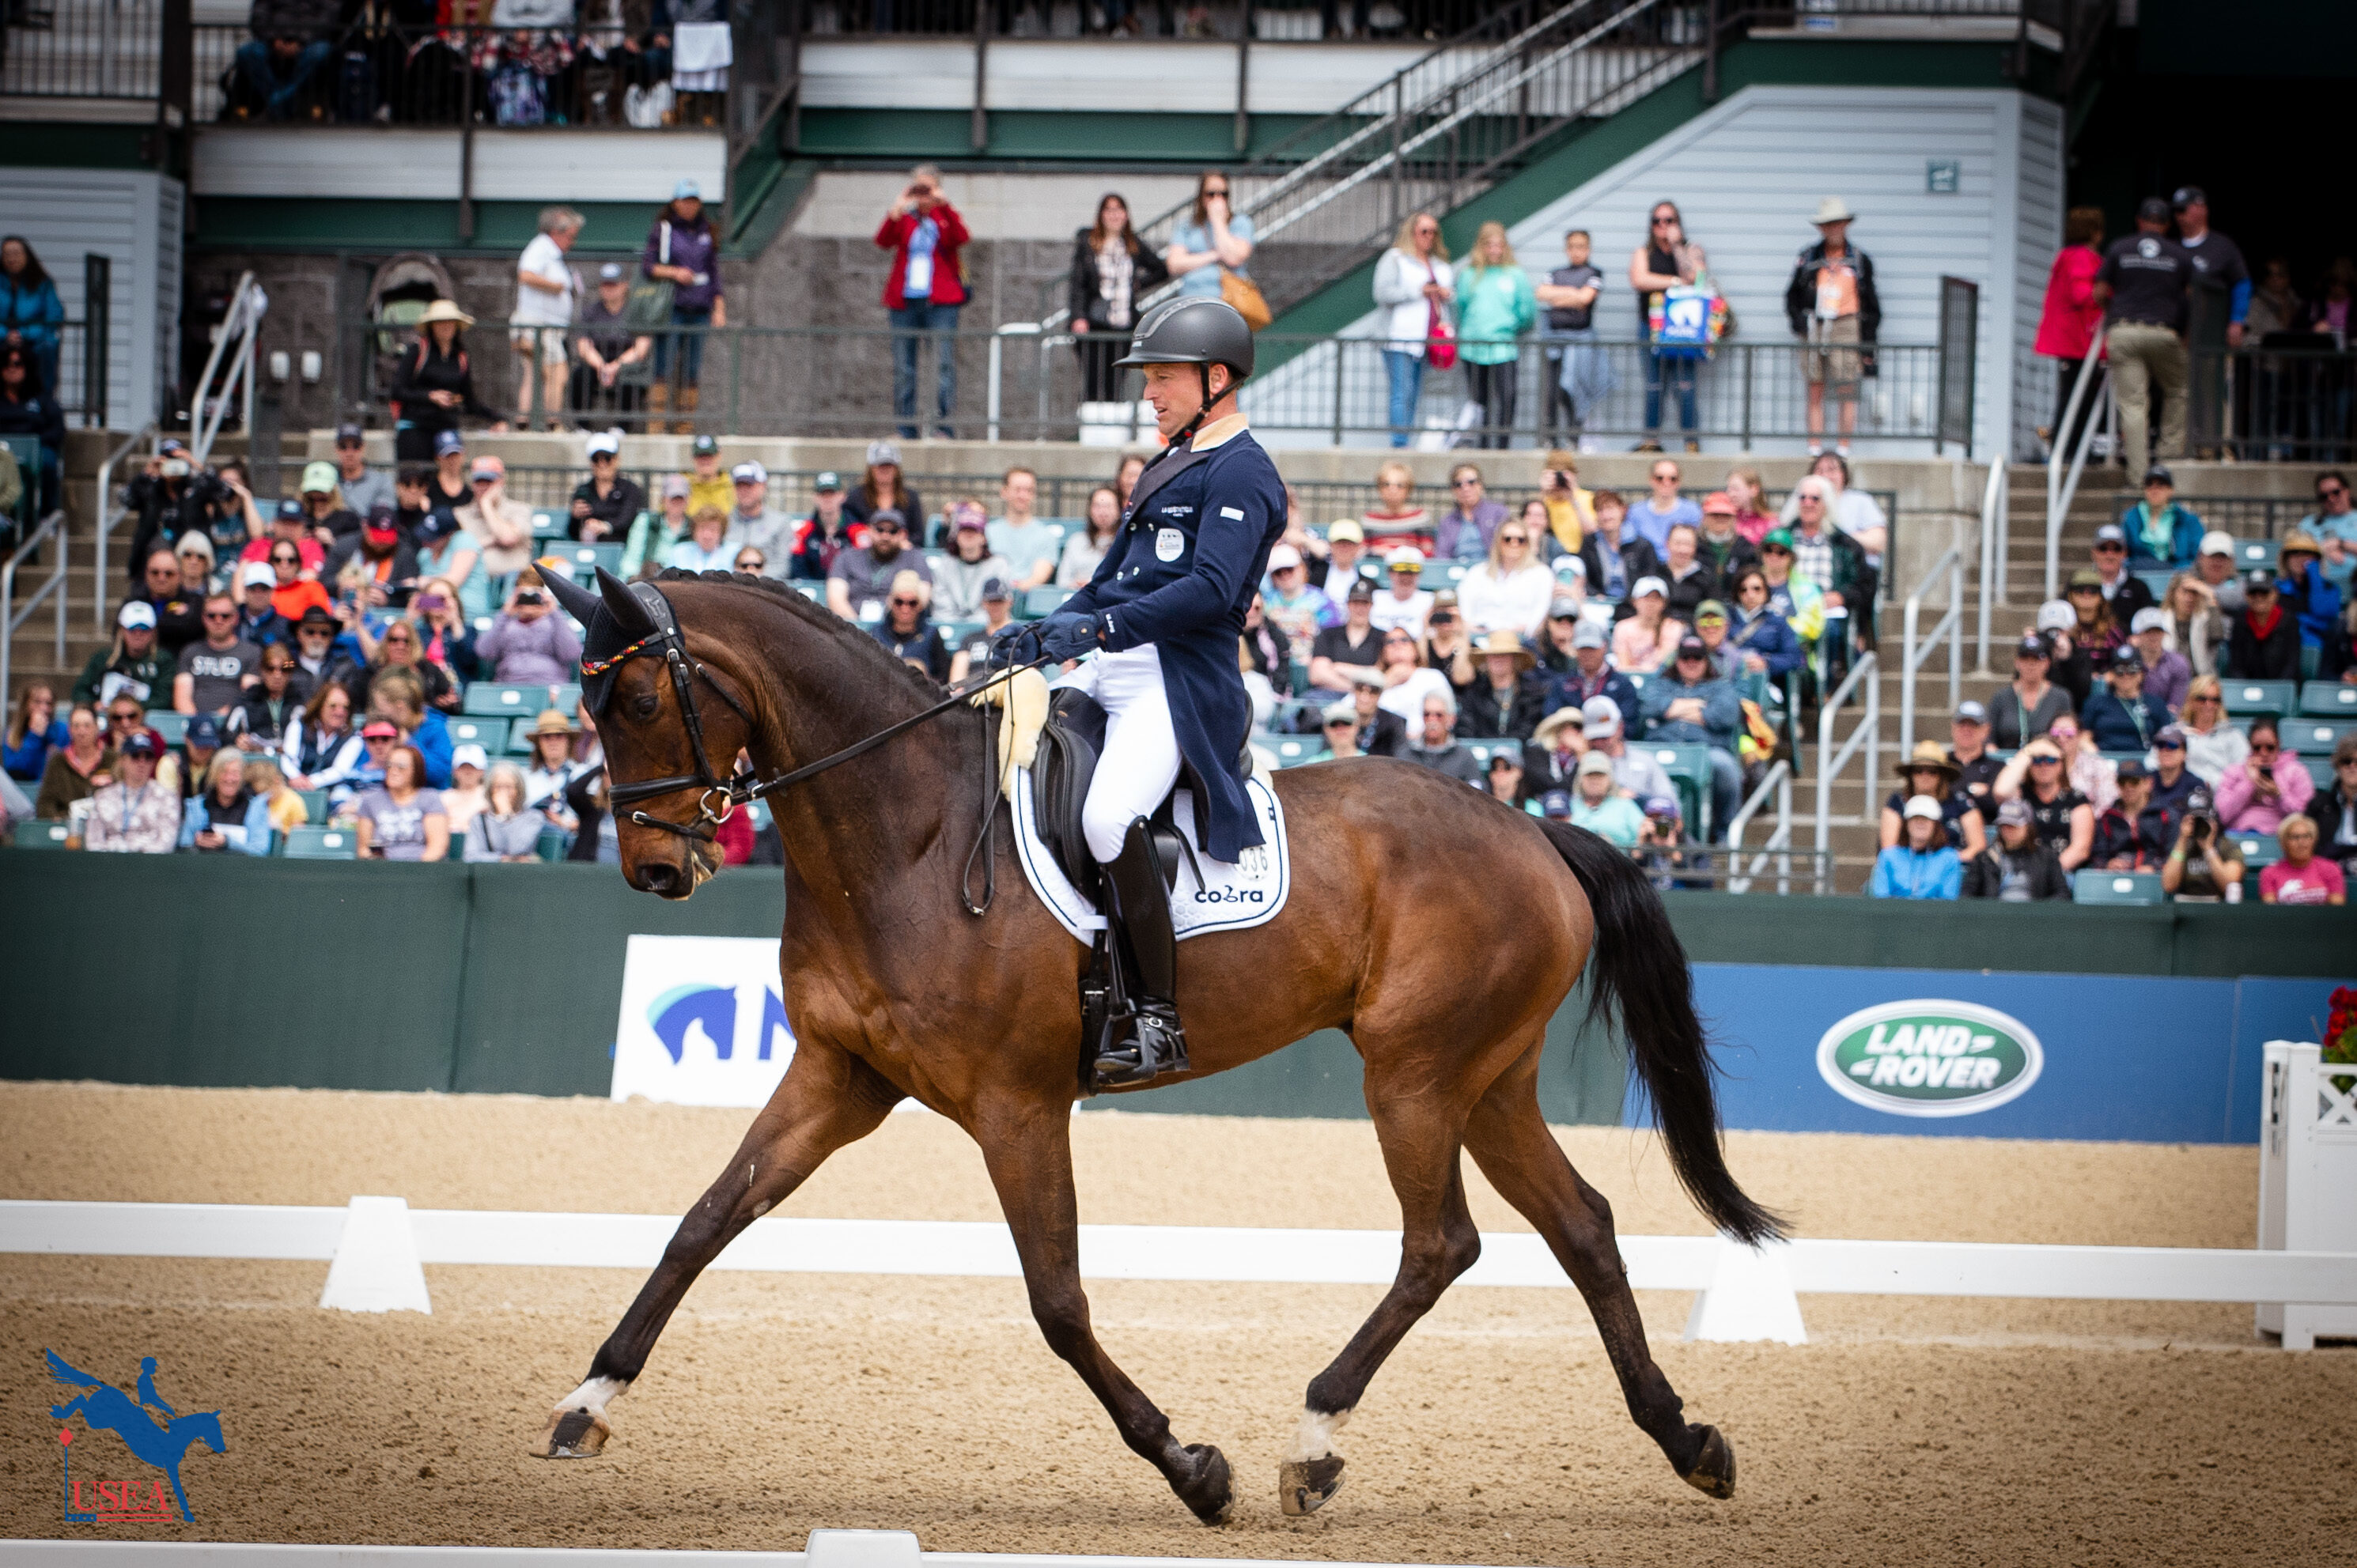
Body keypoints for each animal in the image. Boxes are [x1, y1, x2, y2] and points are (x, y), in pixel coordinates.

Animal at [46, 1350, 225, 1523]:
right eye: (214, 1429)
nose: (222, 1448)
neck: (176, 1438)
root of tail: (104, 1387)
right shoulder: (171, 1465)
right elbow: (179, 1490)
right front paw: (188, 1515)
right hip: (98, 1421)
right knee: (81, 1399)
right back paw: (60, 1412)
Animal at [530, 565, 1782, 1523]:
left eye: (635, 697)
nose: (655, 869)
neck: (908, 834)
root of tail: (1532, 828)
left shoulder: (1016, 1105)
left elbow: (1057, 1301)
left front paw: (1192, 1467)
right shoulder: (841, 1078)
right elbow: (702, 1222)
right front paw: (586, 1404)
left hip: (1416, 1074)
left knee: (1442, 1244)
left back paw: (1310, 1443)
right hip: (1488, 1080)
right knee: (1581, 1226)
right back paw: (1688, 1441)